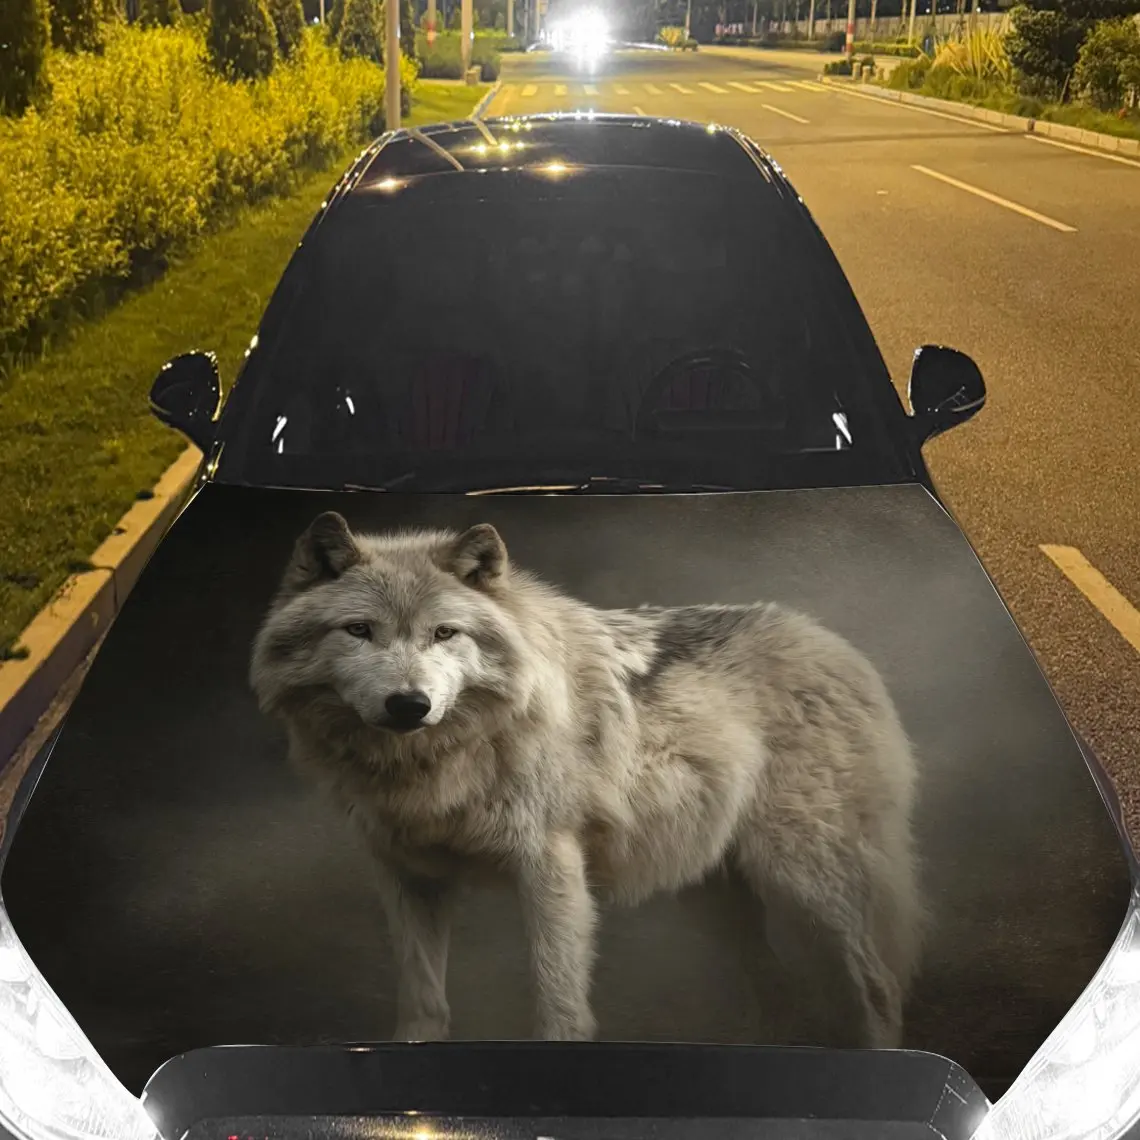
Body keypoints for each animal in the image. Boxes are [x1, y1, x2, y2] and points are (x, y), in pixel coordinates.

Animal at [250, 511, 924, 1049]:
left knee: (878, 986)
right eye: (359, 630)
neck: (438, 765)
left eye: (444, 633)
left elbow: (558, 1000)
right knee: (778, 987)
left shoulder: (550, 866)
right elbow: (423, 1004)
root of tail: (836, 643)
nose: (409, 704)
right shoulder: (408, 878)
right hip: (715, 895)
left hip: (804, 879)